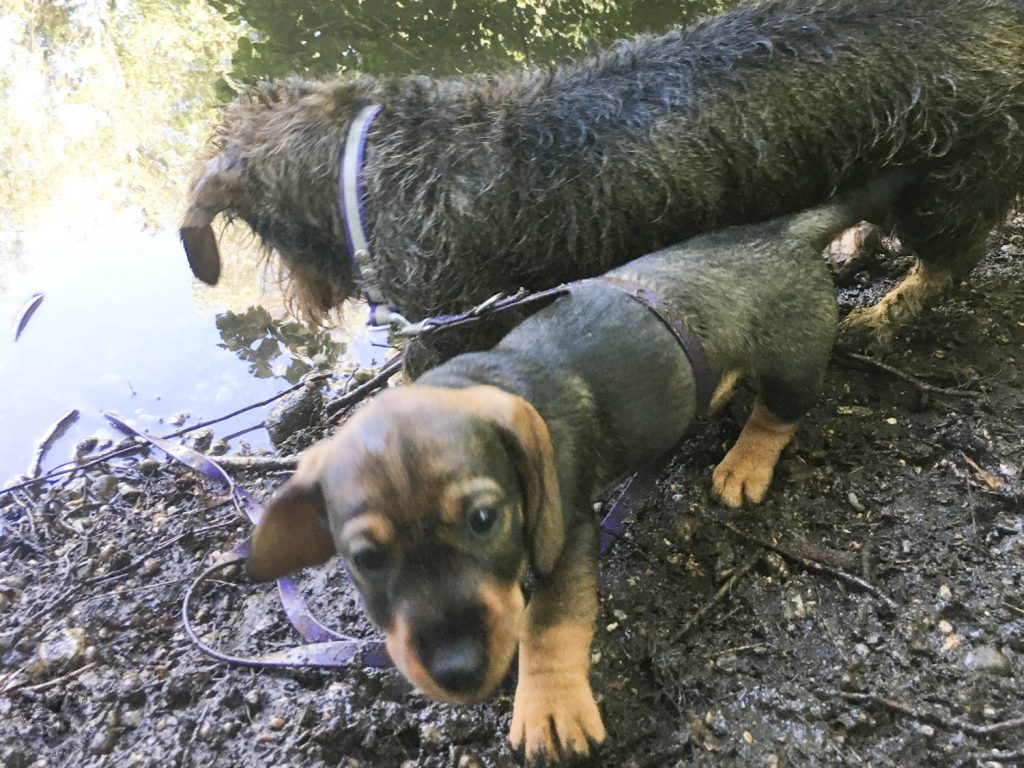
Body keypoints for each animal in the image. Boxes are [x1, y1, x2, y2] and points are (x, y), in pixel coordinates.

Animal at [243, 176, 909, 765]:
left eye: (484, 519)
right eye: (365, 559)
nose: (458, 671)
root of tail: (783, 231)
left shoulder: (568, 532)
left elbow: (549, 619)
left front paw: (549, 708)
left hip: (792, 366)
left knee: (777, 416)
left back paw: (744, 464)